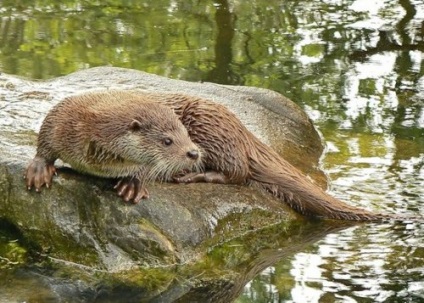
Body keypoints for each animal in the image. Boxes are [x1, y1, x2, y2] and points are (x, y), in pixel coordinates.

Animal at [24, 91, 202, 203]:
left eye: (186, 133)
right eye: (167, 141)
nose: (193, 153)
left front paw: (133, 184)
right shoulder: (63, 115)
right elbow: (46, 135)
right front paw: (40, 169)